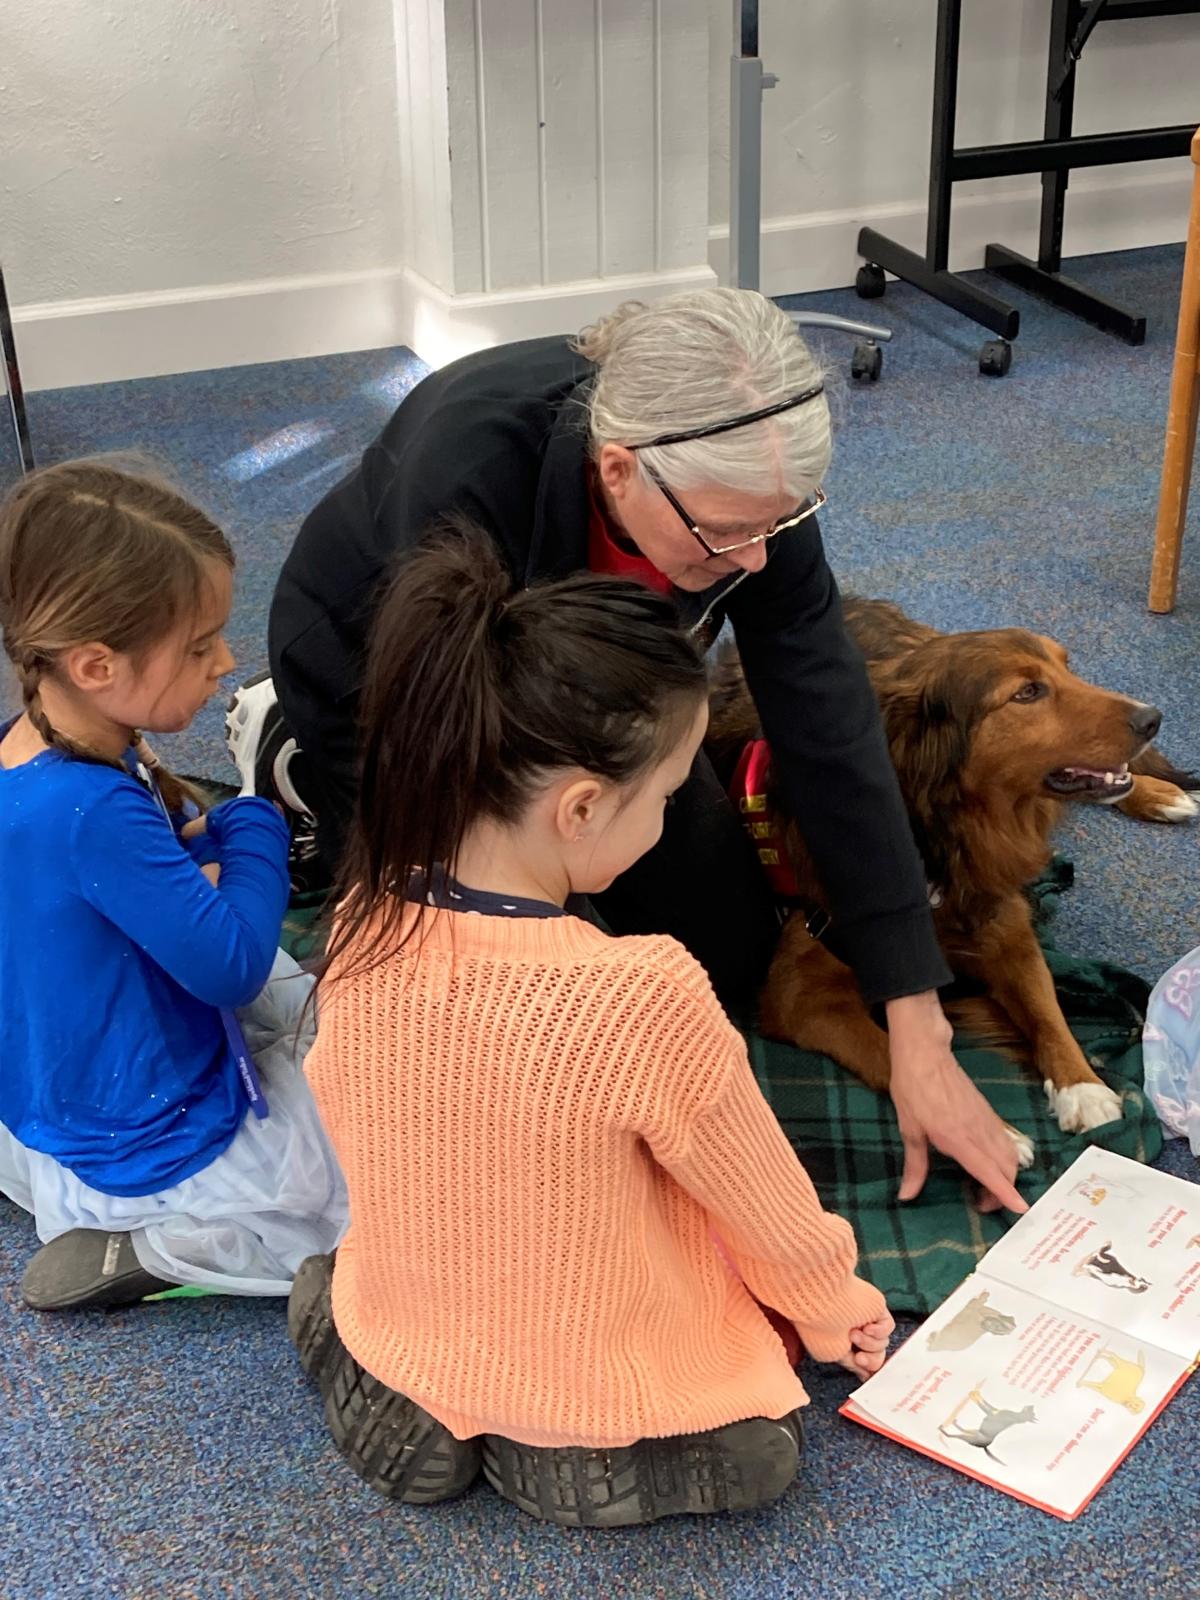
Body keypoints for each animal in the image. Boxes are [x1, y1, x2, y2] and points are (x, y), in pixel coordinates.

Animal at [710, 598, 1196, 1139]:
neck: (944, 826)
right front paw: (978, 1127)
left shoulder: (1006, 928)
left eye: (1067, 667)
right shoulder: (801, 993)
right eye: (1027, 692)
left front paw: (1083, 1087)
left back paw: (1161, 794)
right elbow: (892, 1055)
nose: (1153, 718)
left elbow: (1048, 1013)